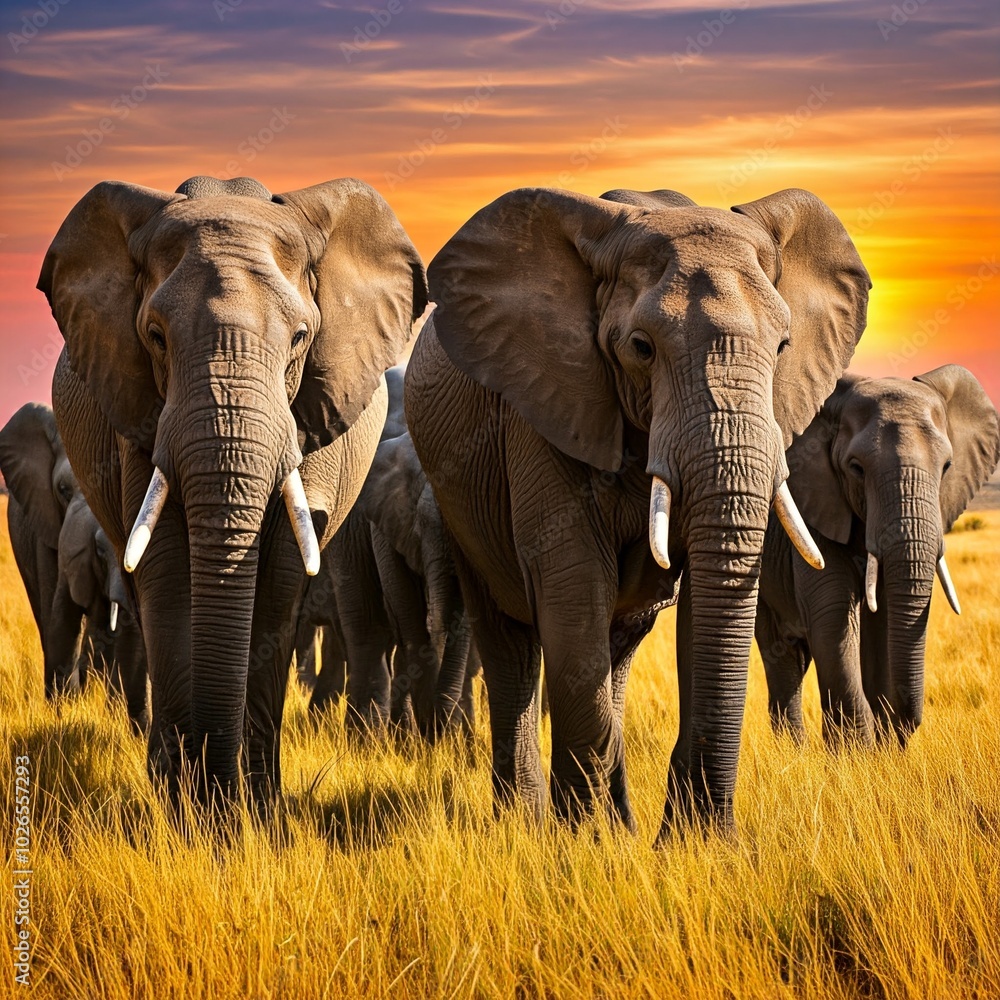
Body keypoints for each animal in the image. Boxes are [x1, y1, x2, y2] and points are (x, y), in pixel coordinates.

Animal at [41, 174, 427, 809]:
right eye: (155, 337)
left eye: (301, 338)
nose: (214, 788)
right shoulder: (138, 409)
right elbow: (166, 568)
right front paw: (186, 809)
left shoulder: (309, 417)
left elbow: (281, 579)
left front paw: (254, 808)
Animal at [293, 366, 477, 741]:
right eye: (420, 526)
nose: (443, 731)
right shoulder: (384, 519)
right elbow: (408, 620)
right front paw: (430, 741)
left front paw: (444, 740)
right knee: (367, 631)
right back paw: (368, 738)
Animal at [405, 185, 870, 835]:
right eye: (641, 348)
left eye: (782, 346)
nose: (708, 826)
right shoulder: (543, 406)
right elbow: (574, 585)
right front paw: (583, 843)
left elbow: (701, 600)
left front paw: (690, 842)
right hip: (457, 502)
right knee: (510, 642)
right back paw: (527, 821)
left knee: (619, 646)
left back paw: (615, 819)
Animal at [756, 366, 1000, 746]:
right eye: (856, 467)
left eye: (947, 466)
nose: (901, 727)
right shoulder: (817, 505)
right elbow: (832, 612)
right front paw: (855, 753)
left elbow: (883, 617)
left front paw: (884, 749)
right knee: (782, 653)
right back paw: (792, 752)